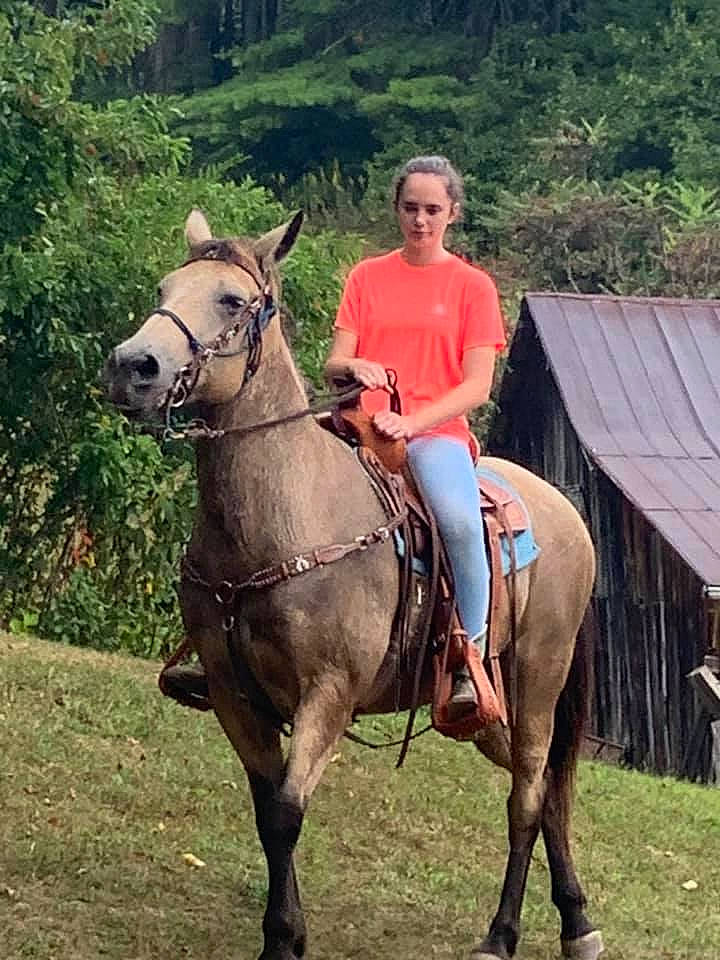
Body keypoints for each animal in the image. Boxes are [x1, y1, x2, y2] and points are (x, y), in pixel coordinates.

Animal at [104, 209, 604, 960]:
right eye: (165, 286)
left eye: (232, 300)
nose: (133, 367)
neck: (287, 517)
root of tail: (570, 516)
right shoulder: (231, 693)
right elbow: (267, 810)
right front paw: (284, 932)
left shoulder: (330, 692)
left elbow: (287, 810)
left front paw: (284, 938)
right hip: (489, 713)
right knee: (546, 792)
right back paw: (576, 922)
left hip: (539, 680)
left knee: (526, 796)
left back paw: (501, 933)